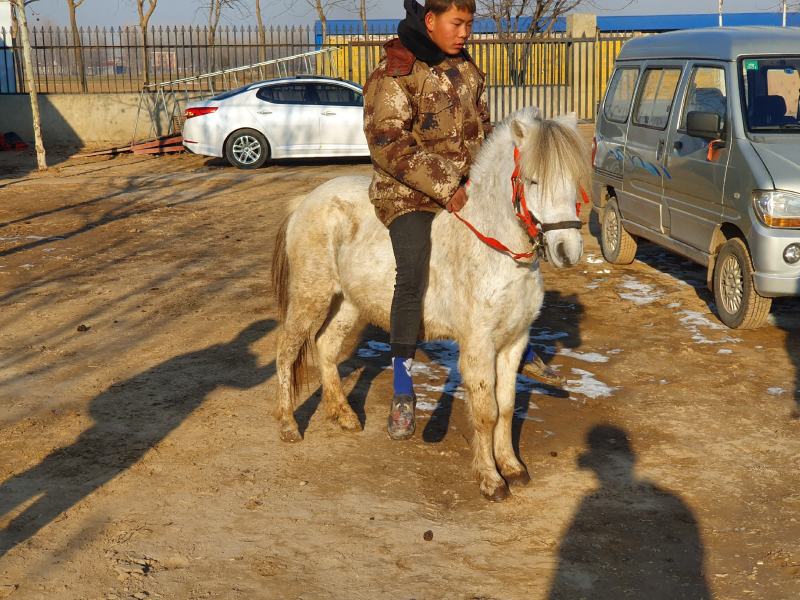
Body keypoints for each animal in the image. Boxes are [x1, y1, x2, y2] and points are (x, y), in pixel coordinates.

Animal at [271, 107, 589, 501]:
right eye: (532, 181)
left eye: (574, 179)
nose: (567, 250)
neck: (495, 250)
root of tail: (306, 201)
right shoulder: (478, 345)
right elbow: (486, 411)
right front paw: (490, 478)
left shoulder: (514, 343)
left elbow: (506, 407)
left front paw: (513, 468)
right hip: (310, 295)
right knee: (286, 351)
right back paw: (288, 424)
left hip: (348, 302)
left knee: (325, 346)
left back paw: (343, 415)